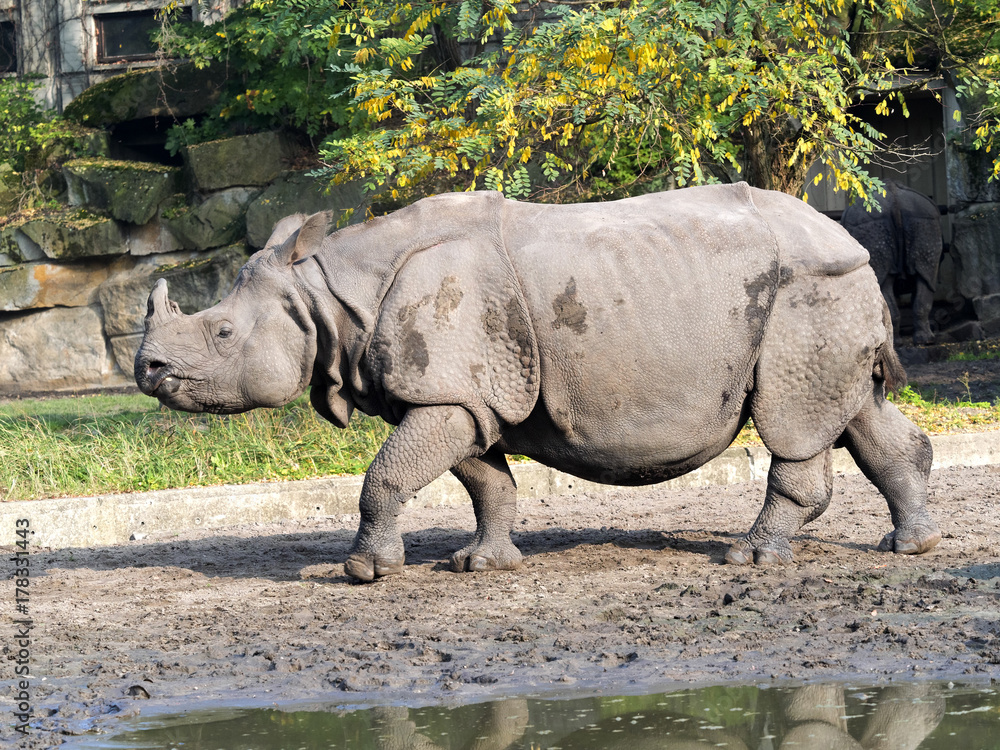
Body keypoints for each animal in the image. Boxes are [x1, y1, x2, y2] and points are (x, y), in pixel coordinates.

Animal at [135, 184, 941, 582]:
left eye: (222, 334)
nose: (147, 370)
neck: (327, 294)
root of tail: (847, 237)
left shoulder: (448, 389)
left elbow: (385, 474)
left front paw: (364, 572)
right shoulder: (466, 395)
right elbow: (485, 481)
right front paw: (481, 566)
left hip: (806, 290)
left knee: (793, 419)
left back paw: (751, 559)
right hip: (826, 292)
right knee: (857, 409)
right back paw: (912, 547)